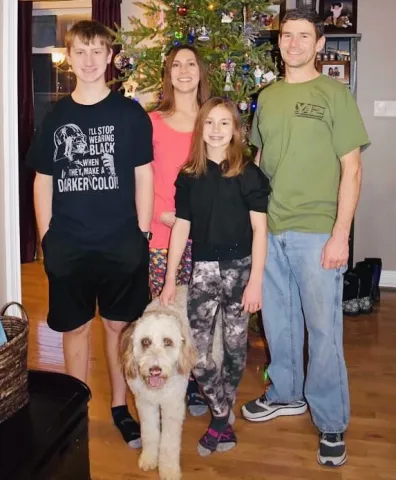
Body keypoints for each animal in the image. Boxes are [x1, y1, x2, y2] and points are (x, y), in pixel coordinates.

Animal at [119, 286, 196, 478]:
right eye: (145, 341)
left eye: (168, 342)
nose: (155, 369)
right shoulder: (145, 403)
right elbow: (149, 433)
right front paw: (149, 458)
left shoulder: (172, 406)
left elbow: (169, 442)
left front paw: (168, 469)